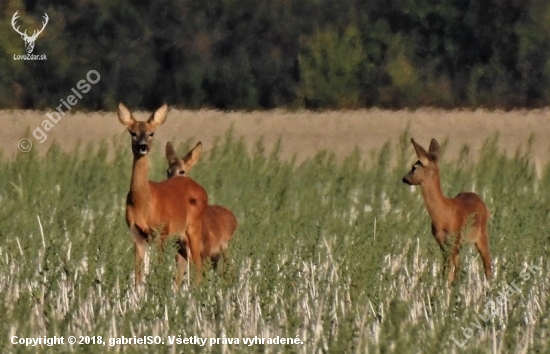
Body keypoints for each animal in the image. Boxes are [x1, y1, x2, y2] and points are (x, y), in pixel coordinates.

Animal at [118, 102, 209, 288]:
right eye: (133, 133)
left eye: (151, 133)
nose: (143, 146)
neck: (144, 203)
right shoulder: (137, 234)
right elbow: (138, 275)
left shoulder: (162, 232)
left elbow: (157, 267)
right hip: (179, 239)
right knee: (182, 267)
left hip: (193, 229)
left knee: (198, 266)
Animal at [164, 141, 237, 272]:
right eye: (168, 171)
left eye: (182, 171)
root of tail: (234, 217)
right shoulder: (180, 252)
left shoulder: (204, 250)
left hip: (226, 247)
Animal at [404, 137, 494, 284]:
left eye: (414, 167)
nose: (404, 178)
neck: (443, 215)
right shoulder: (442, 242)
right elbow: (446, 271)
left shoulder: (454, 240)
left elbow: (449, 272)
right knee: (460, 267)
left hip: (481, 234)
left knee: (487, 263)